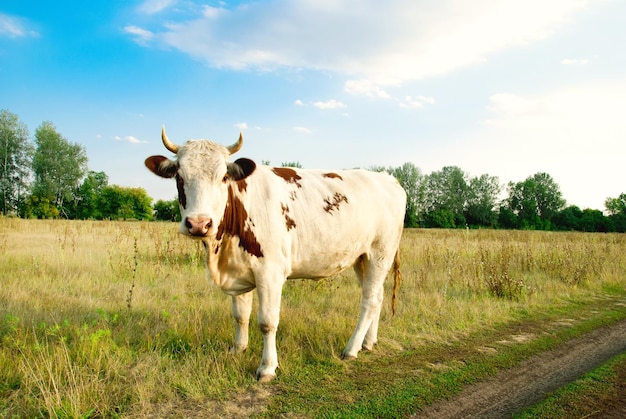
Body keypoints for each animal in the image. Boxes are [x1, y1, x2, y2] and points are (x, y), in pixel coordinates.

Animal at [143, 126, 404, 382]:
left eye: (224, 177)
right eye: (179, 176)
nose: (199, 224)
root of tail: (387, 178)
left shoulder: (270, 272)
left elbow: (267, 322)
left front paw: (267, 367)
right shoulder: (238, 268)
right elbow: (240, 315)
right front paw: (238, 349)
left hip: (380, 253)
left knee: (369, 301)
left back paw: (352, 349)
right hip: (362, 258)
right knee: (378, 296)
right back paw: (369, 342)